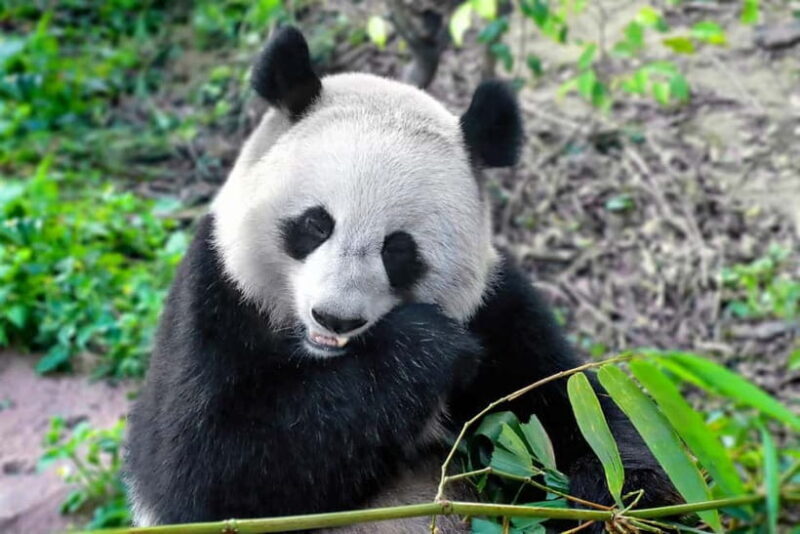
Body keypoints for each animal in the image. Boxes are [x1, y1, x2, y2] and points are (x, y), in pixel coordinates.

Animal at [125, 26, 676, 533]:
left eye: (398, 249)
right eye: (316, 224)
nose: (336, 318)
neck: (330, 361)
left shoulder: (499, 313)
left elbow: (586, 418)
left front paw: (620, 505)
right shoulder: (215, 298)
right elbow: (211, 471)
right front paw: (427, 344)